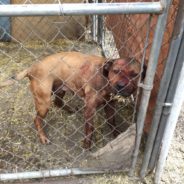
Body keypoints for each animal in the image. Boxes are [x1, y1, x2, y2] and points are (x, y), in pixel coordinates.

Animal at [0, 51, 147, 148]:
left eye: (135, 74)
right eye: (116, 71)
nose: (121, 85)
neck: (105, 77)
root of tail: (31, 68)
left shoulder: (110, 105)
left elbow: (112, 121)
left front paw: (116, 135)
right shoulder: (89, 108)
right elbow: (90, 128)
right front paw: (87, 144)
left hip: (60, 90)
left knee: (58, 102)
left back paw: (69, 109)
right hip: (44, 102)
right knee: (37, 119)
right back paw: (43, 137)